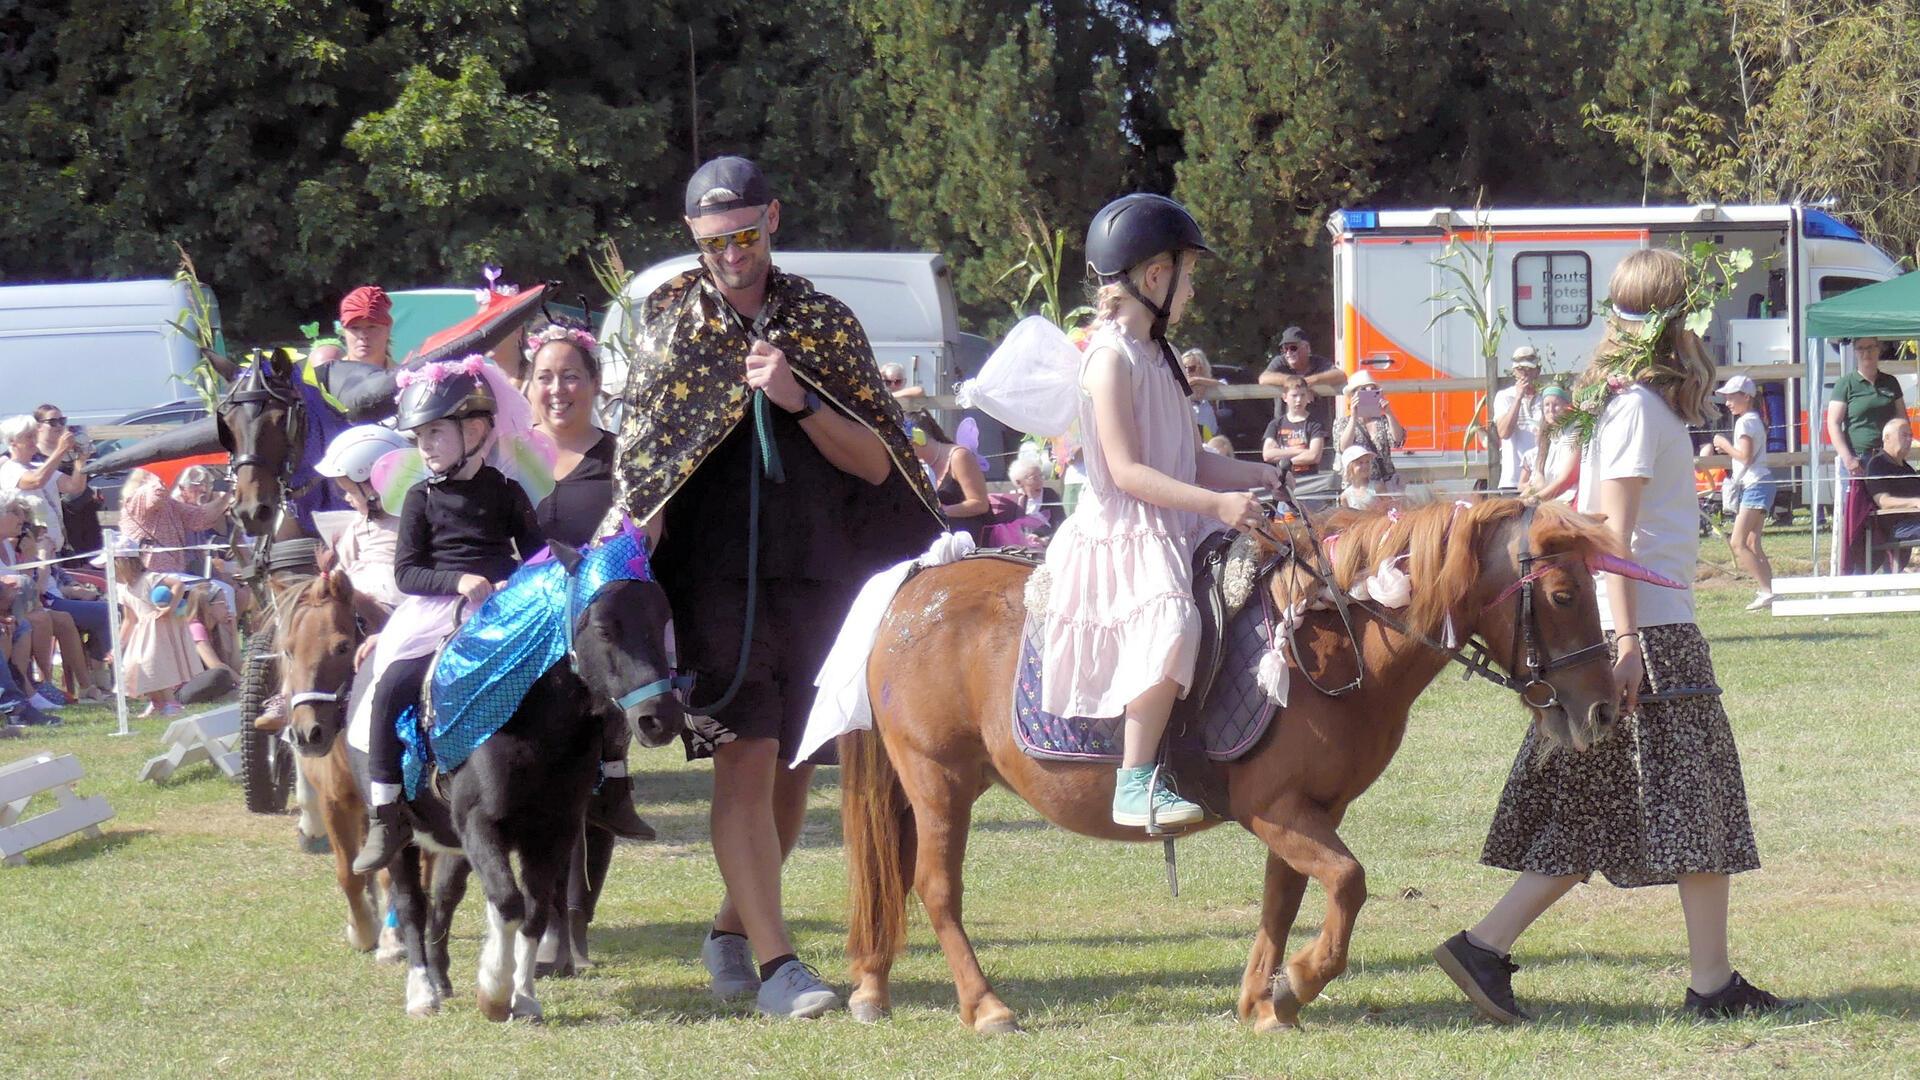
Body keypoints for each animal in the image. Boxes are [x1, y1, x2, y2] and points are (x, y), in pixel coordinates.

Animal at [840, 495, 1620, 1022]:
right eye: (1562, 593)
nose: (1605, 710)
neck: (1334, 638)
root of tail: (916, 586)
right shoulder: (1271, 808)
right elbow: (1348, 882)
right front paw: (1298, 983)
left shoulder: (1310, 808)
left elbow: (1286, 897)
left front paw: (1265, 1000)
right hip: (939, 780)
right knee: (935, 889)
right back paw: (986, 1006)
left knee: (895, 881)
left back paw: (872, 985)